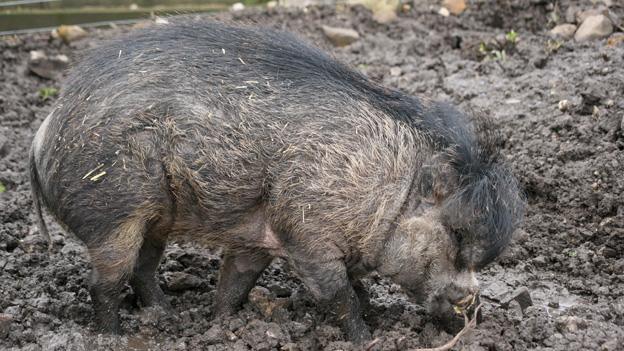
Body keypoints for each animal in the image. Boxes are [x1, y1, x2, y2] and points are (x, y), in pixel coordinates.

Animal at [30, 19, 528, 344]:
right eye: (456, 237)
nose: (474, 310)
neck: (388, 188)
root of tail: (44, 130)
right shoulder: (306, 233)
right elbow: (339, 295)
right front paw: (365, 338)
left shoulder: (258, 238)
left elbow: (235, 282)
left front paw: (219, 324)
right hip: (114, 212)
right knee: (104, 282)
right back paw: (114, 336)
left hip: (155, 219)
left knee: (143, 269)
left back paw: (168, 318)